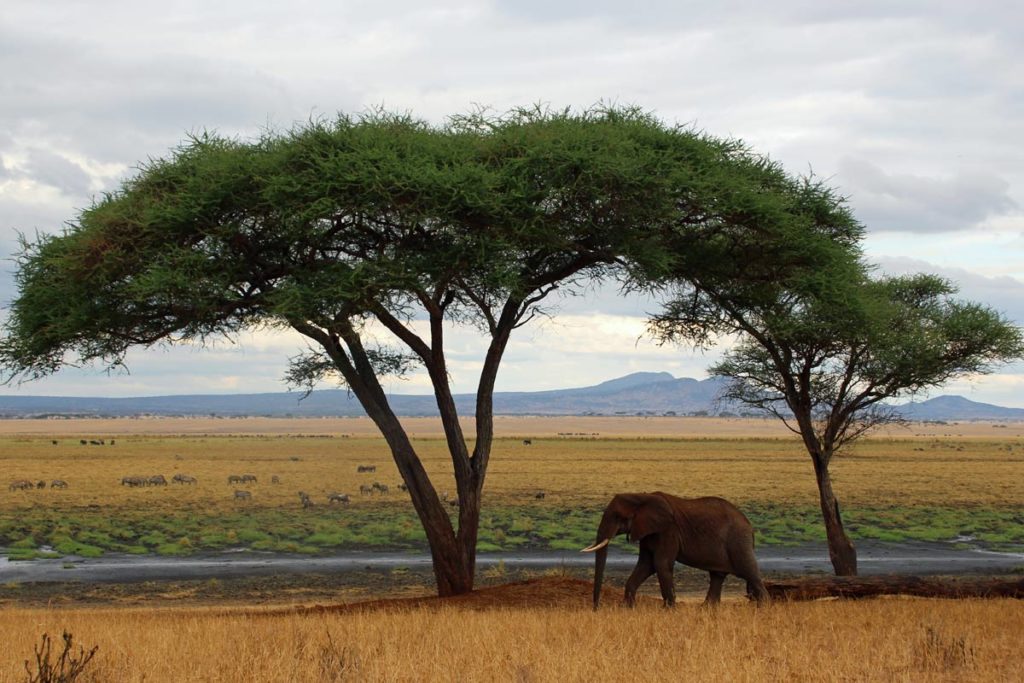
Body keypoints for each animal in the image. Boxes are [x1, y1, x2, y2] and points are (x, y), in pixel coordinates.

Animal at [582, 492, 769, 609]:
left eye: (617, 516)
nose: (596, 608)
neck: (641, 496)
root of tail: (749, 525)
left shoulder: (668, 530)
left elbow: (660, 563)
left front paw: (668, 610)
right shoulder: (647, 532)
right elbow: (646, 565)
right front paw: (628, 609)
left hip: (738, 541)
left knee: (750, 572)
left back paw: (763, 609)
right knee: (717, 576)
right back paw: (706, 610)